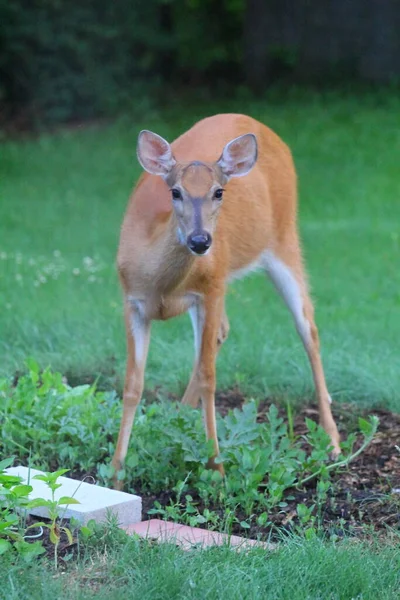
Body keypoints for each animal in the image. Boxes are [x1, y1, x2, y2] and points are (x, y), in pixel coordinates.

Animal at [111, 115, 340, 490]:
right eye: (175, 191)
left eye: (218, 192)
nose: (201, 241)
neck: (160, 286)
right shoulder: (132, 301)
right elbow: (133, 383)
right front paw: (116, 471)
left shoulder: (212, 288)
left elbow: (209, 376)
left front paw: (216, 469)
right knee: (221, 333)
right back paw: (176, 417)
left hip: (284, 240)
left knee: (309, 328)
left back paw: (333, 441)